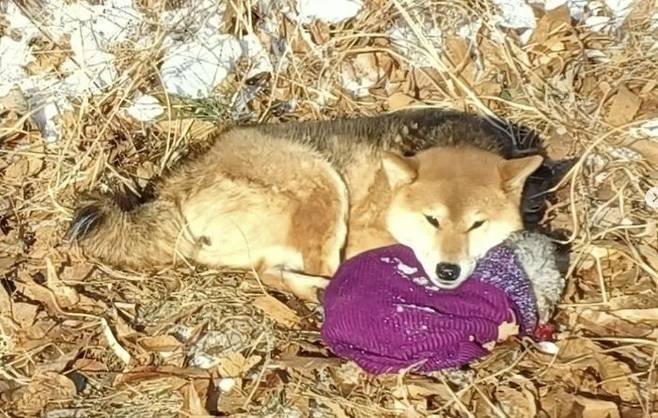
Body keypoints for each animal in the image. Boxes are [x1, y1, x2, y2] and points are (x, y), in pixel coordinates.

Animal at [66, 108, 548, 300]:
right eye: (432, 220)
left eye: (476, 225)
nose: (447, 272)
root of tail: (173, 186)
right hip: (323, 183)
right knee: (311, 272)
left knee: (267, 271)